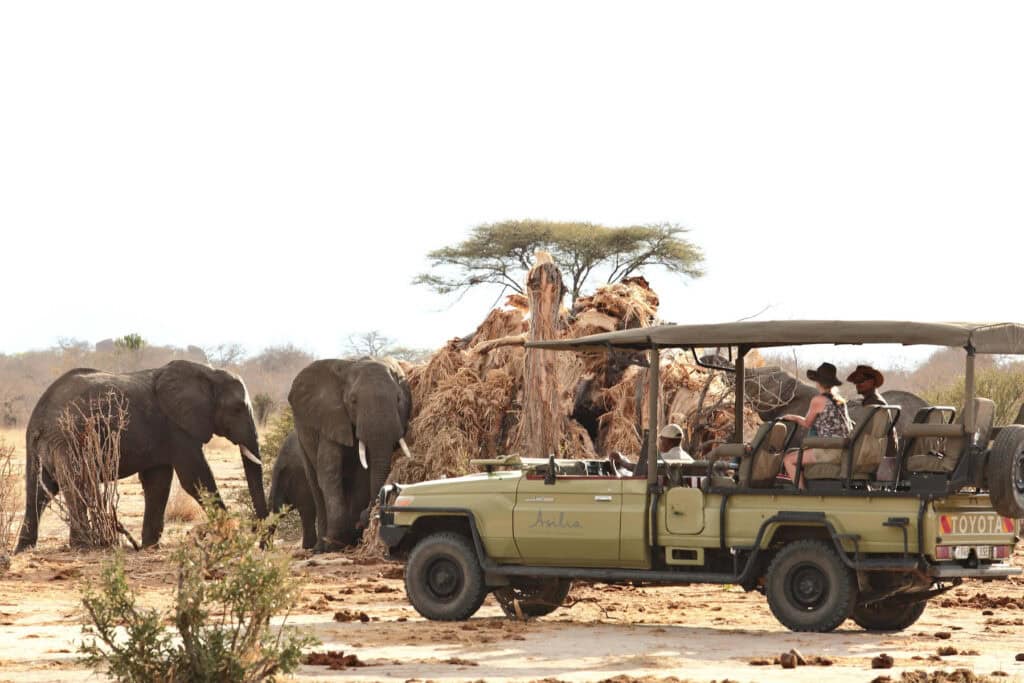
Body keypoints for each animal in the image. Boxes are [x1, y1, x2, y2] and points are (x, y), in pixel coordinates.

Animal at [15, 360, 267, 552]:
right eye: (237, 409)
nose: (262, 543)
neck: (209, 372)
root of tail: (38, 416)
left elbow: (158, 483)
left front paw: (149, 546)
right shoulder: (178, 427)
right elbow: (195, 477)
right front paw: (231, 535)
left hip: (41, 446)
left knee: (38, 491)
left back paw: (24, 549)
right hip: (67, 439)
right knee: (75, 483)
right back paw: (84, 547)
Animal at [288, 357, 412, 552]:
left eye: (399, 398)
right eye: (353, 401)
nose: (365, 516)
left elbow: (362, 475)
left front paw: (349, 535)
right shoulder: (332, 418)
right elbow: (328, 472)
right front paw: (335, 542)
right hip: (302, 438)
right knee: (315, 484)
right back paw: (320, 547)